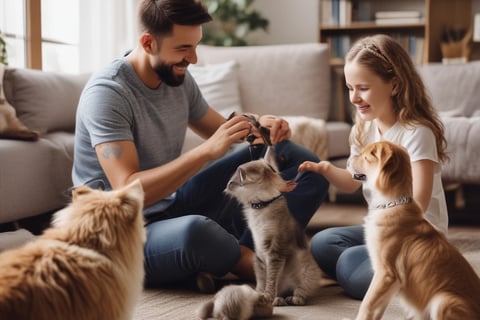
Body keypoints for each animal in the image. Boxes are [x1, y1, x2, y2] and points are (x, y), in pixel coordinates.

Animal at [224, 151, 330, 306]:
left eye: (232, 182)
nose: (227, 186)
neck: (261, 206)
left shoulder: (275, 251)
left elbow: (271, 278)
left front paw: (267, 296)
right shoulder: (259, 253)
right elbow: (262, 279)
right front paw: (259, 295)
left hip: (306, 269)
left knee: (299, 291)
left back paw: (293, 298)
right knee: (281, 292)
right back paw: (279, 299)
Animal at [348, 141, 480, 320]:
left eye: (365, 156)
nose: (348, 159)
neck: (391, 204)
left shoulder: (386, 273)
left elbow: (366, 304)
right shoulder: (391, 281)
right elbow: (377, 309)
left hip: (443, 300)